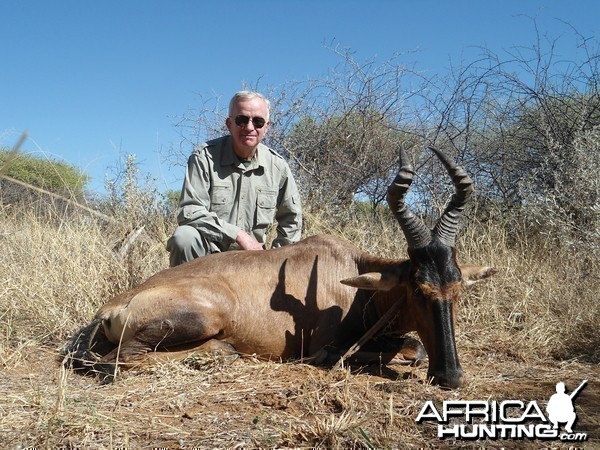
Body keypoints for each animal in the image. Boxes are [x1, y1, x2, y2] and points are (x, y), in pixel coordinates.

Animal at [63, 147, 494, 386]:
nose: (450, 377)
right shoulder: (328, 342)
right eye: (417, 288)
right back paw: (220, 352)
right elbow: (389, 351)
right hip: (202, 317)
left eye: (456, 288)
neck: (347, 273)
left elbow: (414, 347)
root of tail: (110, 306)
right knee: (118, 360)